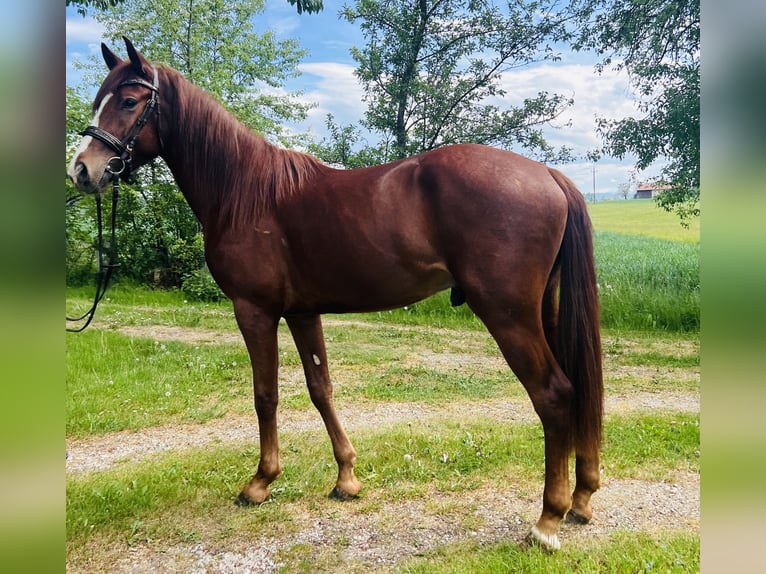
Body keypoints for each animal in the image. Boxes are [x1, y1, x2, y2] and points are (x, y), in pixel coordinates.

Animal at [68, 37, 603, 551]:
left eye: (130, 101)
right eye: (98, 101)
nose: (82, 171)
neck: (244, 191)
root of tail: (547, 174)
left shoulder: (255, 311)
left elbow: (265, 394)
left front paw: (260, 482)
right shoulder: (303, 313)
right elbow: (320, 388)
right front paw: (347, 477)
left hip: (508, 314)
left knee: (554, 395)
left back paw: (548, 519)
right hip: (543, 310)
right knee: (576, 388)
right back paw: (581, 497)